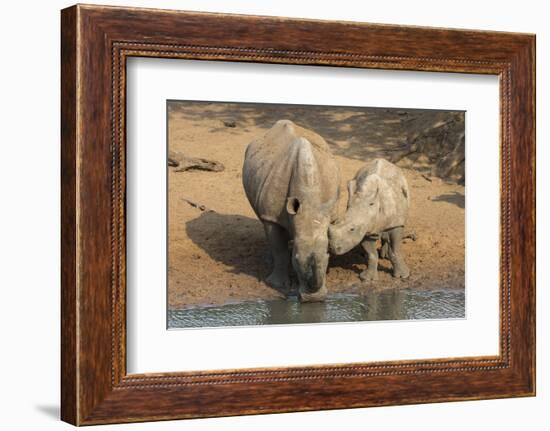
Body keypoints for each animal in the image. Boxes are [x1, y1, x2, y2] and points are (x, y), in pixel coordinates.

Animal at [243, 120, 340, 304]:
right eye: (296, 259)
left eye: (328, 256)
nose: (314, 300)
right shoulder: (271, 217)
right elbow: (279, 248)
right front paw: (277, 285)